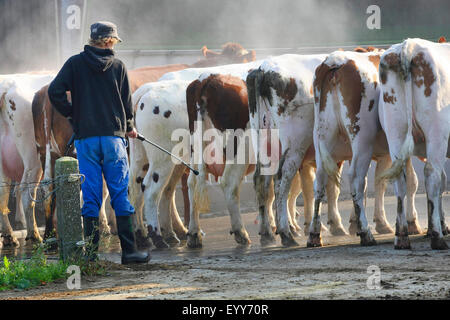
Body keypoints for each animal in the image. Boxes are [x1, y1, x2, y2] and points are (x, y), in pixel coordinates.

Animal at [0, 74, 55, 246]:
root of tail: (7, 85)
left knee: (3, 192)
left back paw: (9, 236)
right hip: (33, 157)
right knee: (26, 191)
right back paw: (34, 235)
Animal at [310, 50, 422, 248]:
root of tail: (335, 62)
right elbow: (408, 181)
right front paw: (411, 223)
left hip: (322, 138)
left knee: (320, 181)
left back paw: (315, 234)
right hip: (362, 140)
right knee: (356, 178)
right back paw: (366, 233)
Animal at [378, 38, 448, 250]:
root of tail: (409, 46)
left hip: (395, 131)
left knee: (401, 180)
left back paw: (402, 237)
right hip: (436, 132)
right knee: (432, 174)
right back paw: (437, 238)